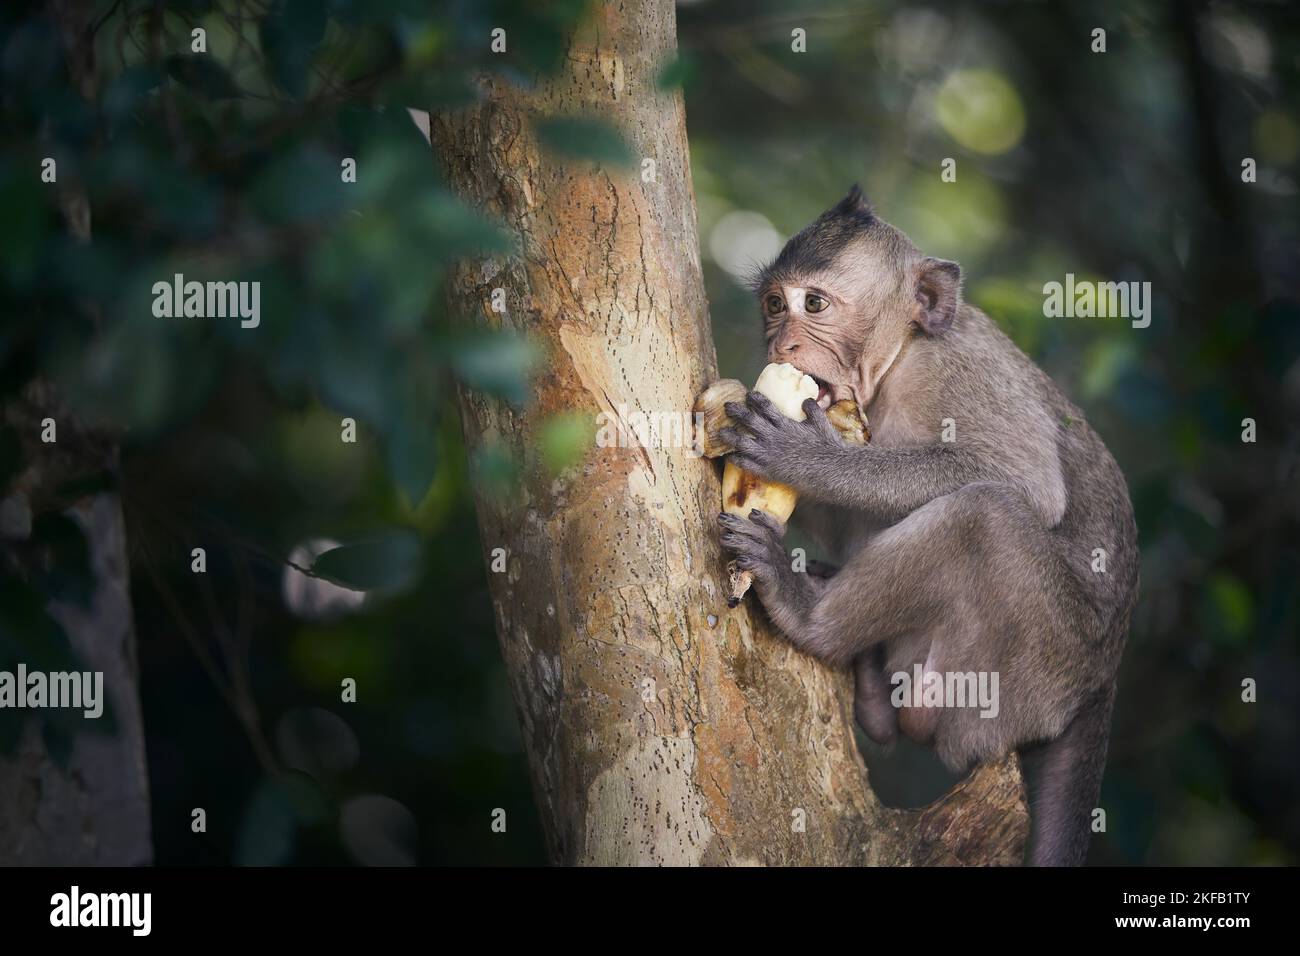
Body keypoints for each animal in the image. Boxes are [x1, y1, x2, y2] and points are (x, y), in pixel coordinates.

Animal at [711, 186, 1138, 867]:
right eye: (775, 304)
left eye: (816, 304)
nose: (783, 346)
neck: (899, 358)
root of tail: (1099, 685)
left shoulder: (955, 371)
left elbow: (1023, 482)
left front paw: (805, 457)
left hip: (1022, 671)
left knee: (985, 517)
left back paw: (807, 612)